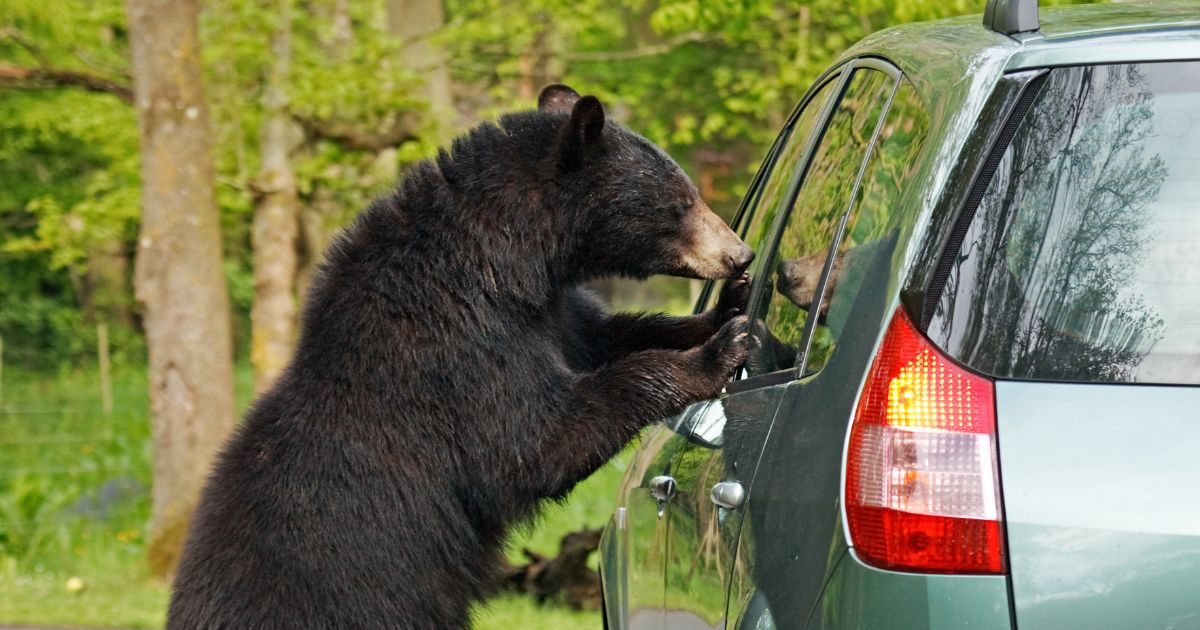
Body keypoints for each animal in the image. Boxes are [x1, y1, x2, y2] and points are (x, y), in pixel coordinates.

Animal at [166, 84, 748, 628]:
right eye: (680, 202)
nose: (739, 254)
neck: (506, 260)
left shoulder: (550, 313)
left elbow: (606, 334)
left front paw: (727, 311)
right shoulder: (453, 345)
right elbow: (533, 443)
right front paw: (714, 356)